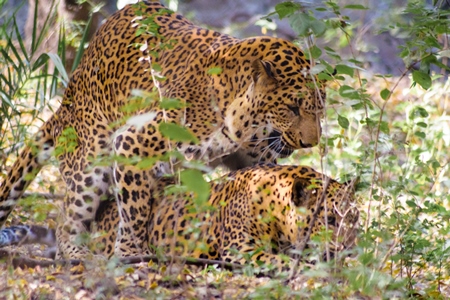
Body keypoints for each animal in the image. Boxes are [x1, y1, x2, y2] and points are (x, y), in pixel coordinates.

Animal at [0, 0, 326, 258]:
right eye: (292, 108)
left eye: (319, 110)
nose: (309, 143)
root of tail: (71, 88)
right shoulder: (132, 144)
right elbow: (135, 209)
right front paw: (131, 253)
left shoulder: (253, 161)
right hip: (90, 165)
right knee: (68, 217)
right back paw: (76, 253)